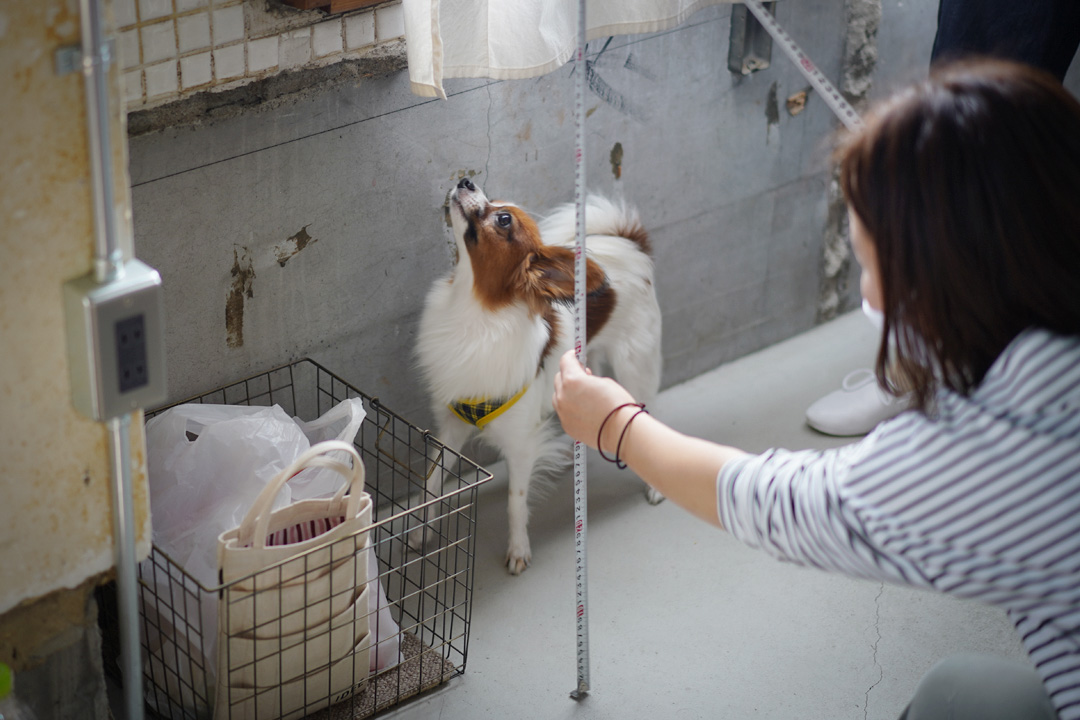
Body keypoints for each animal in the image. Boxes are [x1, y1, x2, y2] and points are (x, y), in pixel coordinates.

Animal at [414, 180, 660, 574]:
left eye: (503, 220)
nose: (467, 181)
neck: (473, 311)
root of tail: (627, 241)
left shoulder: (520, 444)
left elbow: (515, 500)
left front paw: (518, 549)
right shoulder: (453, 426)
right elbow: (432, 481)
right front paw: (422, 530)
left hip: (634, 367)